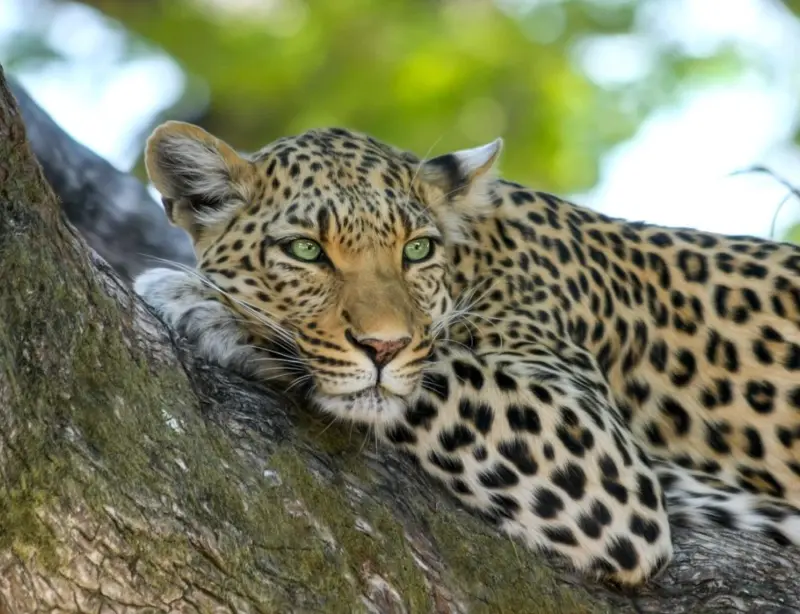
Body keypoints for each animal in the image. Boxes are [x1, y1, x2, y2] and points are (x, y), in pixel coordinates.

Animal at [134, 120, 800, 586]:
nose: (383, 345)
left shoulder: (602, 457)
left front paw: (204, 303)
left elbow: (436, 370)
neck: (478, 257)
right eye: (304, 251)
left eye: (417, 250)